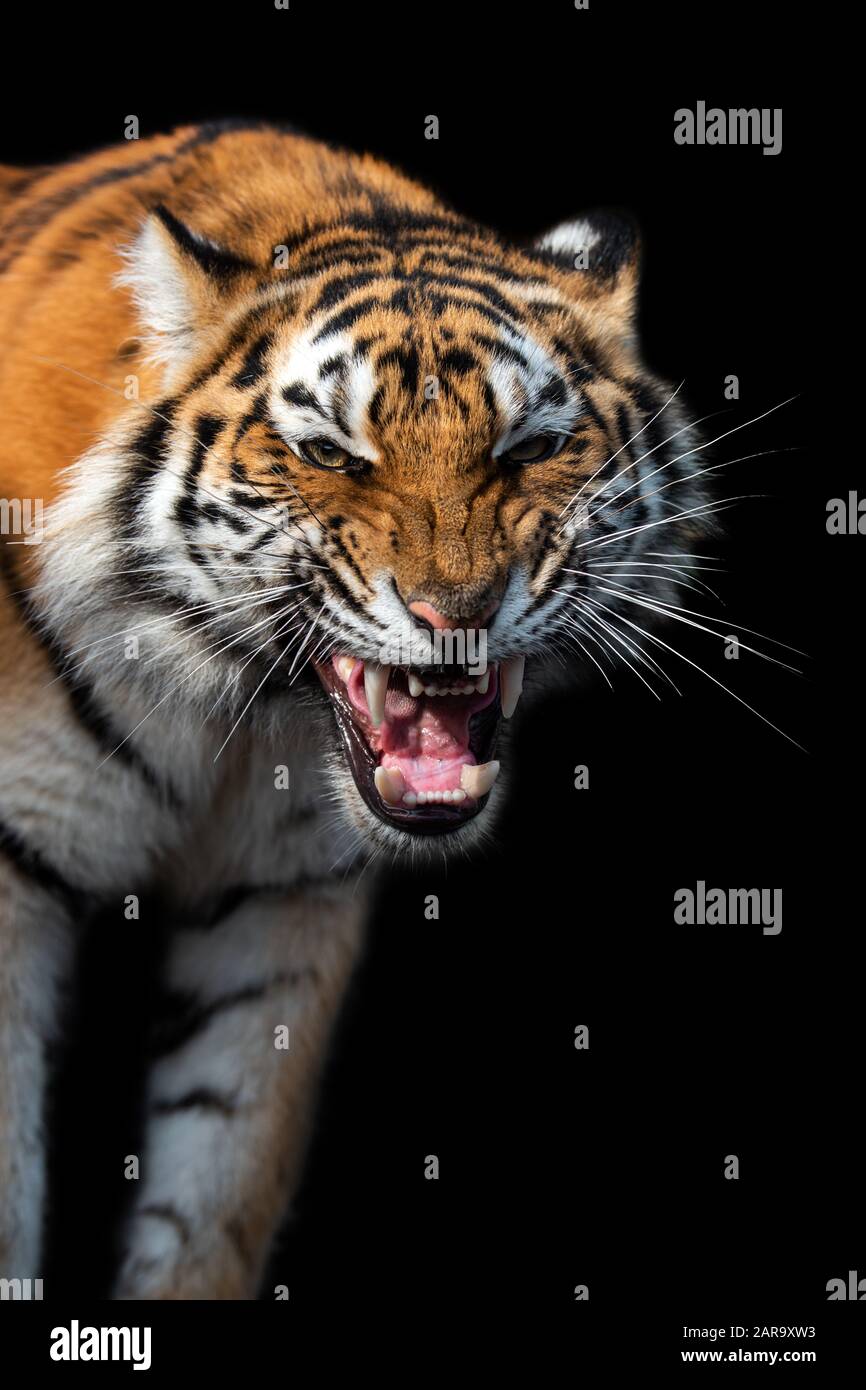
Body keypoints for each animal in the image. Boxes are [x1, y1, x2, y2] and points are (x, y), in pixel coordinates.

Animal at [0, 121, 708, 1299]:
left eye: (529, 448)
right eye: (328, 453)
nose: (457, 610)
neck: (232, 706)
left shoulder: (279, 900)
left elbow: (221, 1187)